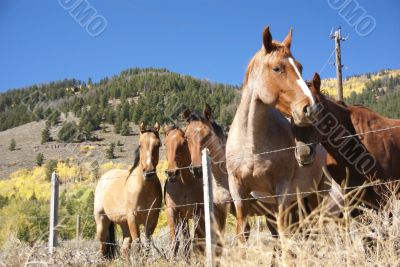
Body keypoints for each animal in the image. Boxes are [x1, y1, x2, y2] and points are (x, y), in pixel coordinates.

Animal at [94, 123, 162, 260]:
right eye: (140, 145)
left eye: (158, 144)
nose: (149, 172)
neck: (144, 189)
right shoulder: (132, 219)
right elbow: (138, 245)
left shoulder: (152, 220)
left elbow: (146, 246)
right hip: (101, 222)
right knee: (102, 248)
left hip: (124, 224)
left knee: (124, 249)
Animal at [162, 124, 203, 258]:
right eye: (165, 143)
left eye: (184, 143)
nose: (172, 173)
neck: (185, 184)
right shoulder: (173, 212)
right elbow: (175, 242)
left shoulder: (197, 211)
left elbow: (196, 240)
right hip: (183, 218)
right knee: (185, 241)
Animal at [225, 26, 324, 244]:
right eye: (277, 68)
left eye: (300, 67)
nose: (310, 109)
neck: (251, 145)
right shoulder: (239, 193)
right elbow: (242, 234)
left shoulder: (282, 190)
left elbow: (285, 234)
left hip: (315, 192)